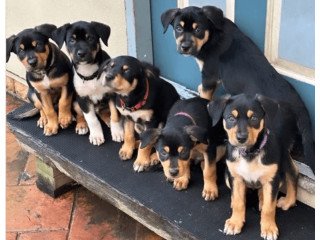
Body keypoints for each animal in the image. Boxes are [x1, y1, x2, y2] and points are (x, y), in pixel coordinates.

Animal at [161, 5, 314, 171]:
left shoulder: (209, 77)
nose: (185, 47)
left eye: (198, 29)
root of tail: (299, 107)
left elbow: (205, 97)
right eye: (178, 28)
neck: (213, 35)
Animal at [208, 94, 300, 240]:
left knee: (291, 173)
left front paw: (269, 228)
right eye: (231, 118)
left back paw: (285, 201)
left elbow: (269, 207)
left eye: (254, 118)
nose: (241, 138)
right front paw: (235, 222)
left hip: (282, 158)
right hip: (228, 176)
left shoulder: (272, 180)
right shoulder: (236, 178)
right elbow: (239, 202)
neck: (249, 153)